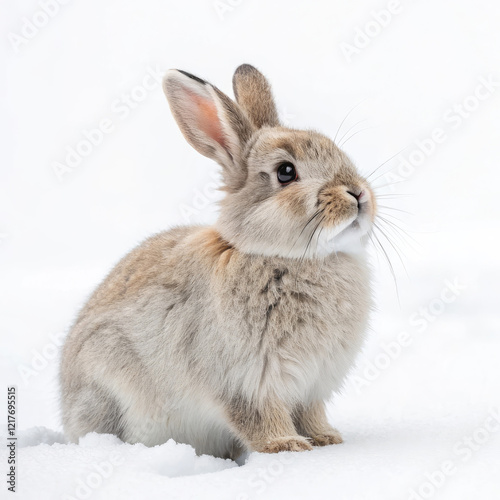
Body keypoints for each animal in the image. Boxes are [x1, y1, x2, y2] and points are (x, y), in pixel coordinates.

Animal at [60, 63, 376, 460]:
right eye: (286, 172)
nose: (359, 193)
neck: (284, 256)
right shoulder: (246, 381)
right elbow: (260, 417)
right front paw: (285, 446)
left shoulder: (311, 386)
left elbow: (311, 414)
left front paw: (326, 439)